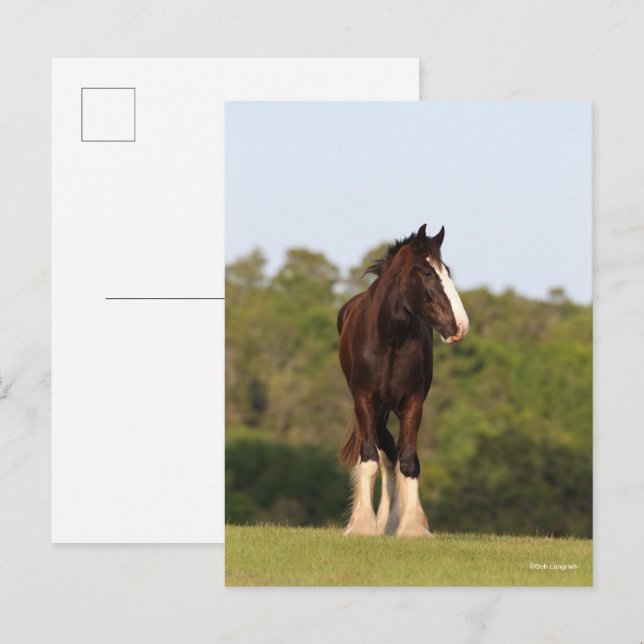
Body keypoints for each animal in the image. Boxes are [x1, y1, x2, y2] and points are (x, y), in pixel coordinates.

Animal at [337, 224, 469, 538]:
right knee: (384, 455)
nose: (460, 326)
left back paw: (390, 520)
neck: (389, 338)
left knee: (393, 456)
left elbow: (408, 461)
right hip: (376, 411)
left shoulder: (413, 403)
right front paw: (362, 525)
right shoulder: (365, 403)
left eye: (446, 270)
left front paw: (412, 527)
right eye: (428, 273)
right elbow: (370, 459)